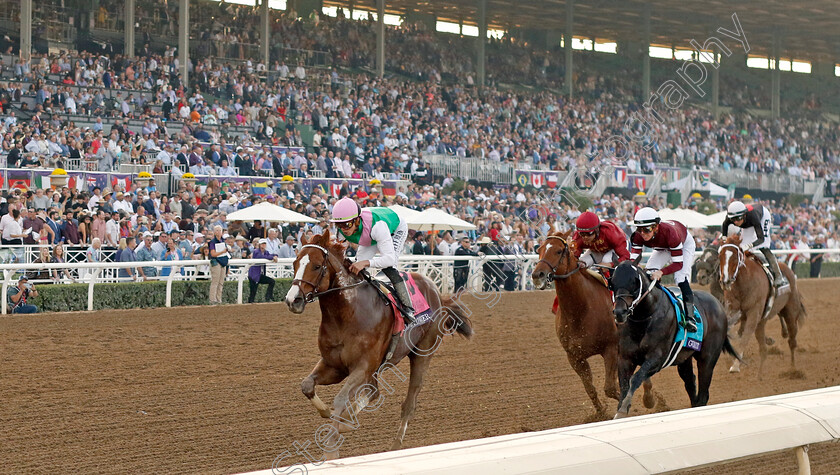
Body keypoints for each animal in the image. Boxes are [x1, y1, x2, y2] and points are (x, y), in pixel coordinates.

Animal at [284, 231, 472, 462]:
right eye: (295, 263)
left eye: (317, 266)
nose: (293, 300)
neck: (348, 313)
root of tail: (437, 293)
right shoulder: (334, 366)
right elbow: (307, 385)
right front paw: (328, 414)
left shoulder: (363, 366)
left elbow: (341, 399)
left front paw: (331, 448)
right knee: (373, 391)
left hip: (422, 354)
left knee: (409, 401)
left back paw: (395, 443)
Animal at [532, 231, 656, 420]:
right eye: (539, 249)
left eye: (559, 251)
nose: (537, 275)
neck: (580, 311)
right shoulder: (574, 357)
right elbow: (590, 388)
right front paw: (600, 413)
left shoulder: (610, 349)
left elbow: (611, 388)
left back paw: (650, 398)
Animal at [608, 260, 740, 420]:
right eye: (612, 283)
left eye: (634, 282)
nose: (619, 313)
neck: (644, 318)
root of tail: (718, 305)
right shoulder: (625, 358)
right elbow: (624, 384)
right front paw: (621, 410)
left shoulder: (657, 359)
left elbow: (635, 378)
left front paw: (625, 409)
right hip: (684, 359)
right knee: (690, 382)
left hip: (708, 358)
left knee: (703, 392)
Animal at [716, 234, 808, 376]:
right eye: (720, 256)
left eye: (735, 257)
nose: (725, 281)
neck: (744, 283)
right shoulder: (733, 310)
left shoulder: (754, 312)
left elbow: (745, 336)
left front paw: (736, 365)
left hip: (791, 313)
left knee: (792, 340)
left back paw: (793, 368)